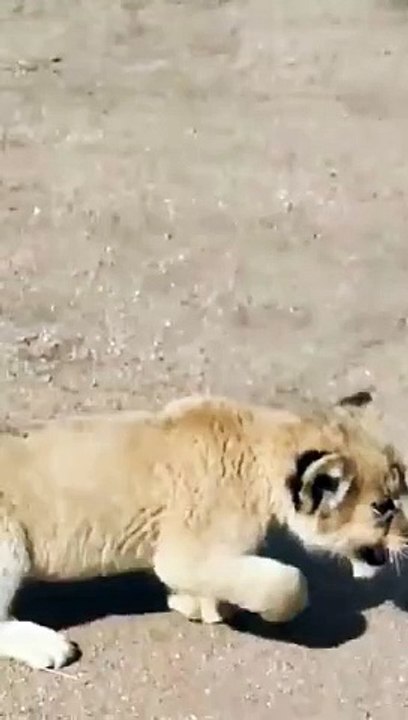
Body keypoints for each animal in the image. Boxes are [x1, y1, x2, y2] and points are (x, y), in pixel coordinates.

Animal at [0, 390, 406, 669]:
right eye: (384, 507)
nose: (407, 536)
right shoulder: (183, 555)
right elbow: (289, 583)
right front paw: (263, 614)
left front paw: (195, 603)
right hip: (9, 546)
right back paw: (48, 646)